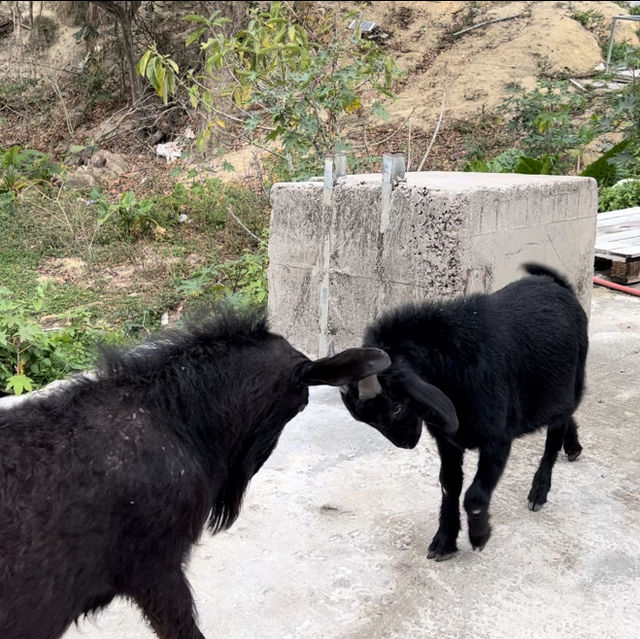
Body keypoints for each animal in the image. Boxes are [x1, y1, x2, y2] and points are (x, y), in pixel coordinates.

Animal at [342, 264, 588, 560]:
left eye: (397, 406)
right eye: (367, 421)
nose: (406, 443)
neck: (453, 363)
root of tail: (558, 284)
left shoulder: (497, 439)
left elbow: (475, 495)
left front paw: (479, 536)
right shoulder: (447, 441)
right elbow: (450, 487)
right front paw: (444, 541)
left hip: (568, 383)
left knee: (554, 435)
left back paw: (539, 491)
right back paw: (573, 447)